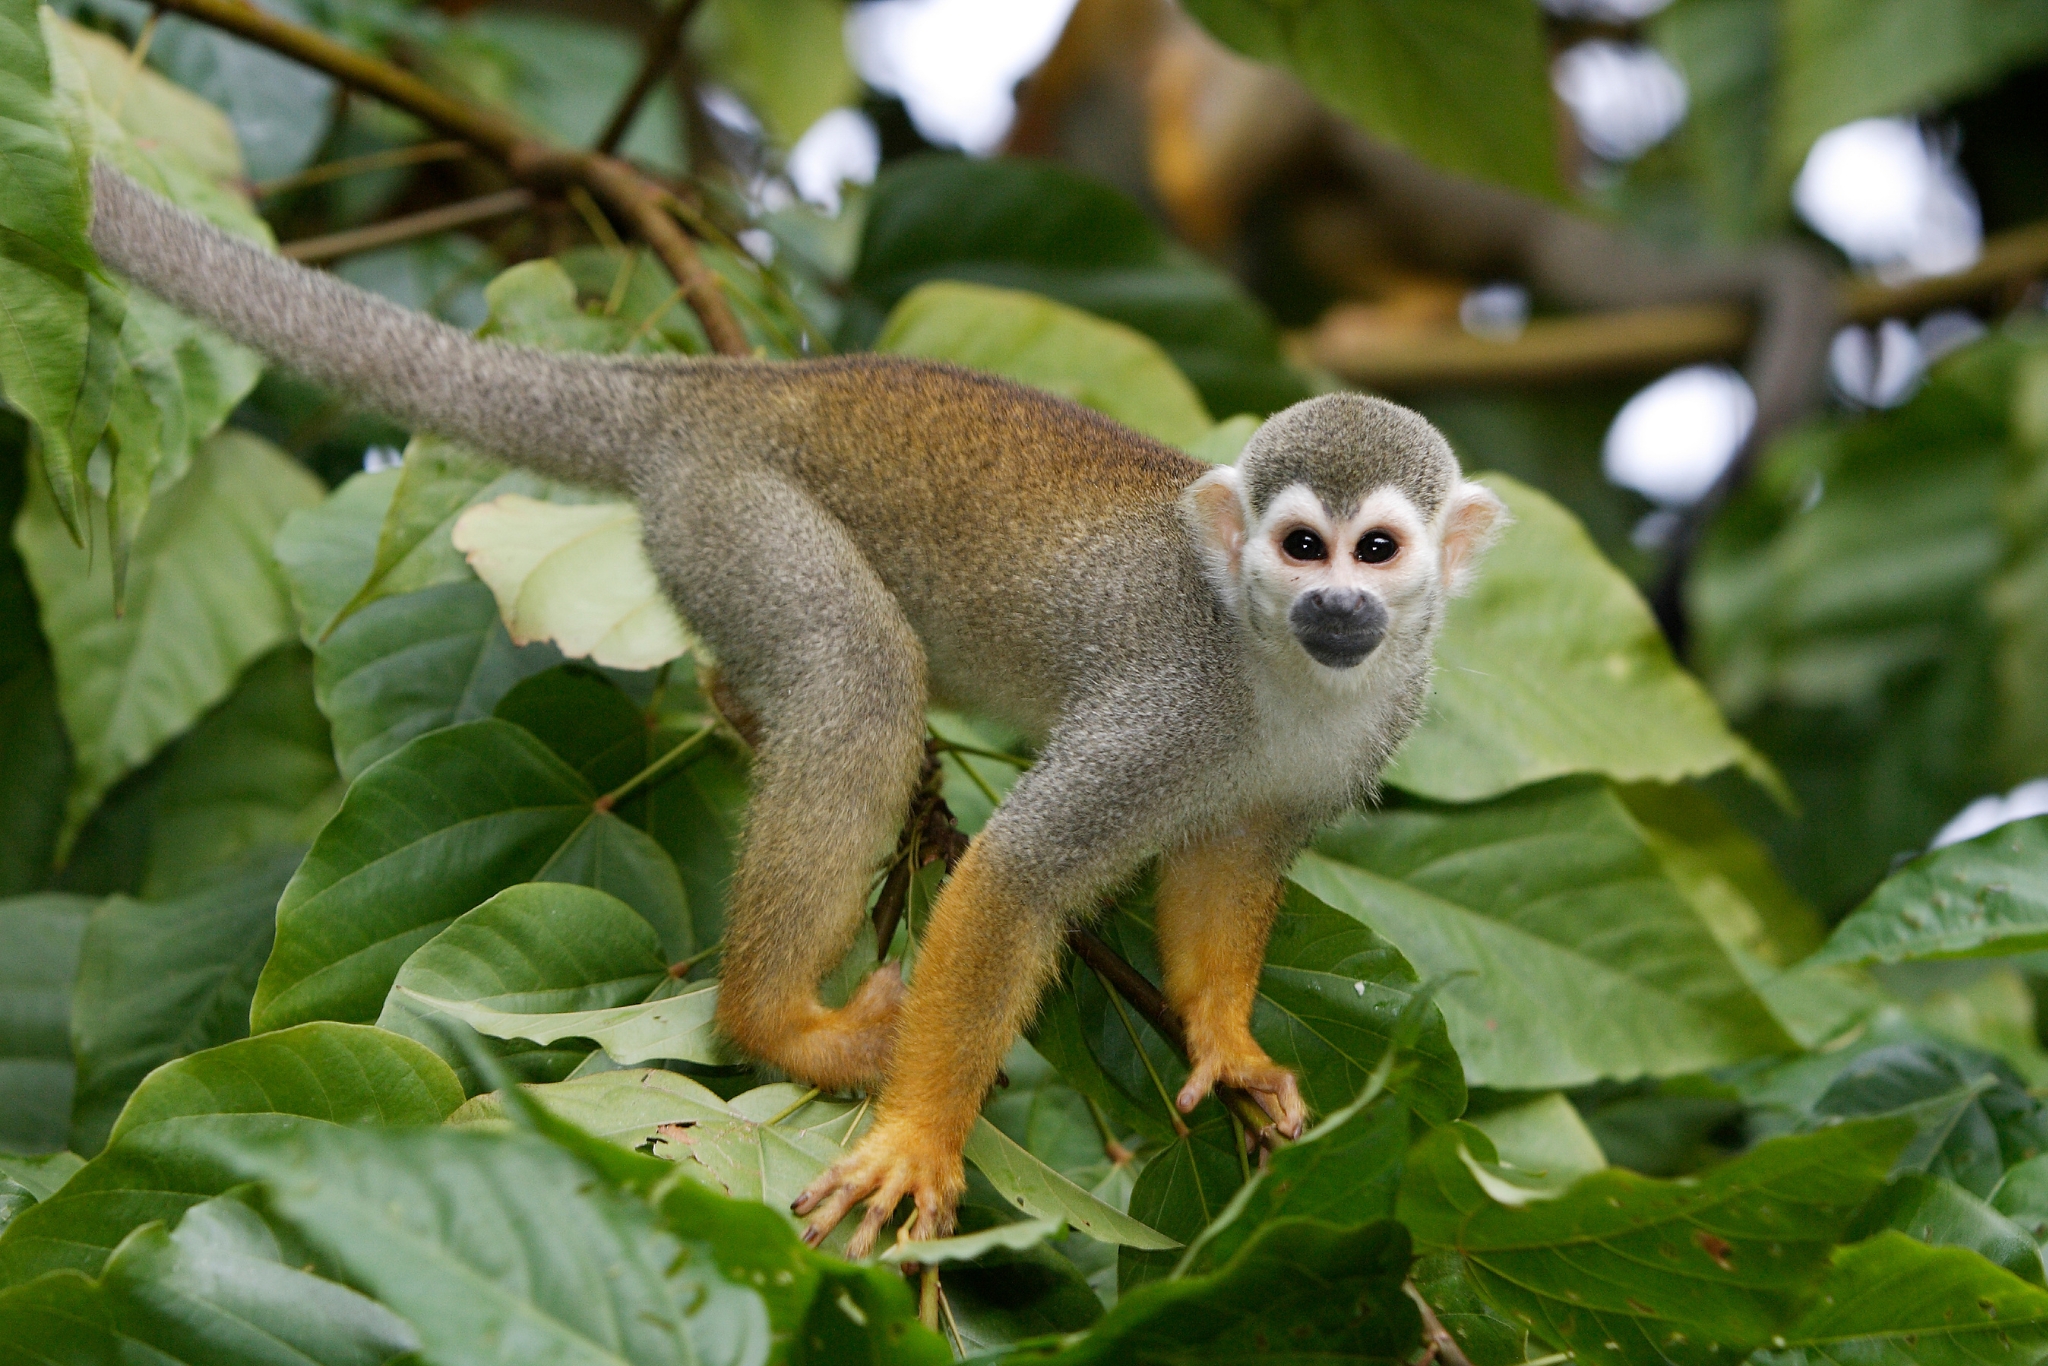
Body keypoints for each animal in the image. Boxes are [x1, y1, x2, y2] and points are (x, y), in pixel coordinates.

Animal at [84, 163, 1507, 1256]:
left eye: (1376, 550)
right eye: (1298, 547)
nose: (1337, 605)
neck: (1280, 675)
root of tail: (726, 383)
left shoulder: (1373, 718)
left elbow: (1232, 859)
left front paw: (1228, 1040)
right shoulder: (1166, 700)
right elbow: (1016, 875)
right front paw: (919, 1139)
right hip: (732, 510)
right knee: (855, 673)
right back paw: (775, 1022)